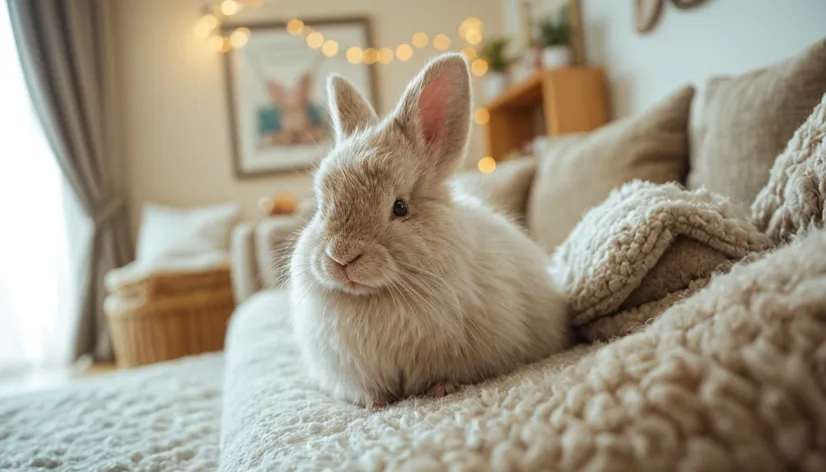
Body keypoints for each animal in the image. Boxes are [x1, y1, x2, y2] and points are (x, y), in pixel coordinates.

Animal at [288, 52, 568, 410]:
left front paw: (441, 389)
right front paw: (373, 402)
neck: (378, 296)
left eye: (400, 207)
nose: (342, 258)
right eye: (321, 207)